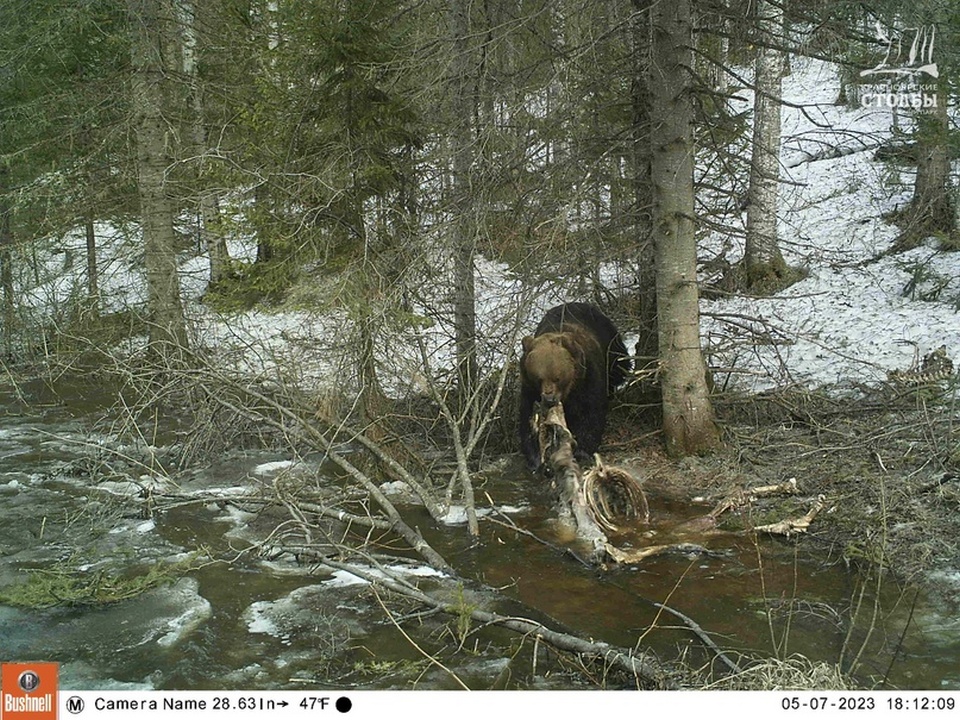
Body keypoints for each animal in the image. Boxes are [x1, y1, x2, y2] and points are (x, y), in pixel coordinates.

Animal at [516, 302, 632, 472]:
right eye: (538, 378)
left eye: (557, 378)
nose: (549, 399)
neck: (569, 391)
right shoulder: (530, 390)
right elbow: (527, 419)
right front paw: (535, 458)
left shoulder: (587, 379)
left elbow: (590, 413)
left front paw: (581, 451)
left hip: (610, 344)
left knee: (618, 367)